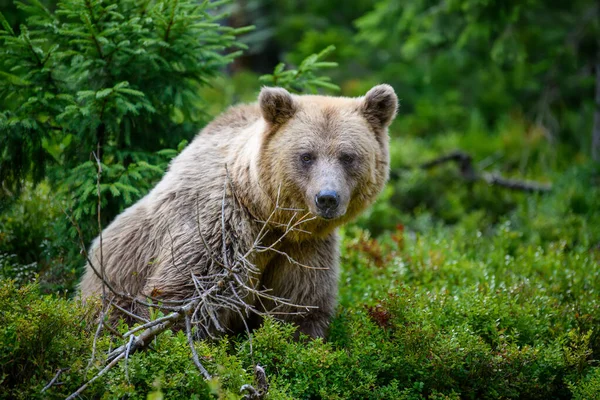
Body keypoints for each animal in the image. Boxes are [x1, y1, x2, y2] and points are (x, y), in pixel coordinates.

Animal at [79, 83, 398, 338]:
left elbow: (298, 306)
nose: (327, 198)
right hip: (111, 281)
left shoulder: (304, 249)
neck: (267, 213)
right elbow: (183, 297)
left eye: (348, 156)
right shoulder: (218, 228)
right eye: (306, 156)